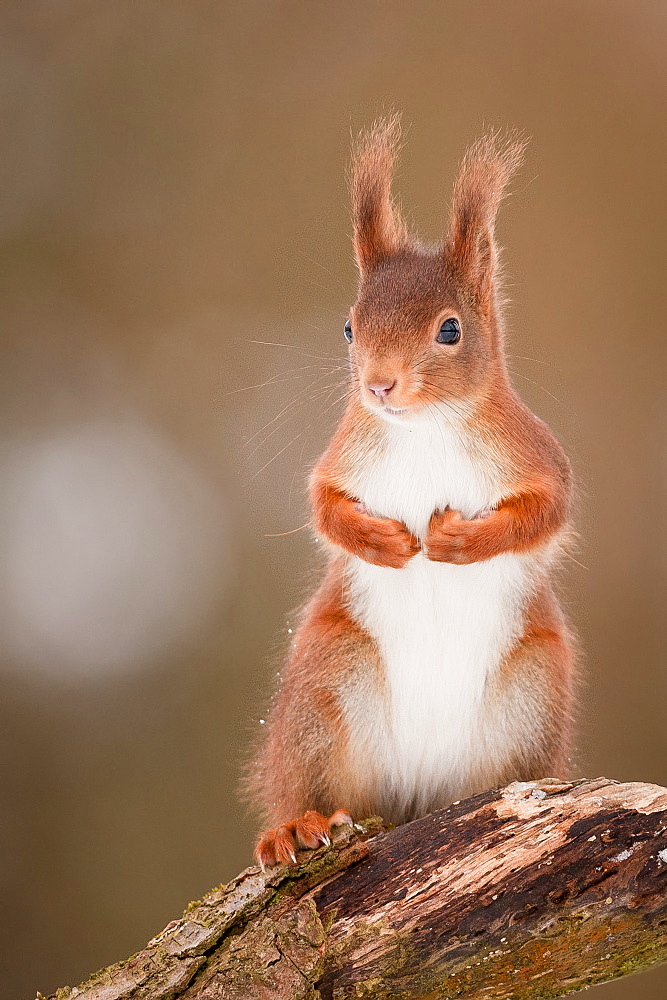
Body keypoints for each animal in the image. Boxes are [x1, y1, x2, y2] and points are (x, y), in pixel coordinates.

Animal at [248, 115, 576, 868]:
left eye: (450, 329)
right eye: (349, 325)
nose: (378, 385)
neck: (425, 429)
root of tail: (420, 794)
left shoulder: (536, 457)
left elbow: (546, 513)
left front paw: (460, 541)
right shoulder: (344, 455)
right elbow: (322, 506)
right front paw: (382, 542)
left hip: (534, 690)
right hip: (324, 683)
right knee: (306, 784)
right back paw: (294, 826)